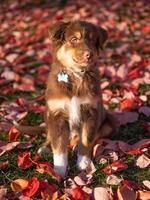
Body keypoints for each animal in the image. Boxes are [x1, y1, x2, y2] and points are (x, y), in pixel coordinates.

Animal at [38, 20, 115, 177]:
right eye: (74, 40)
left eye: (92, 40)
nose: (89, 54)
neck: (76, 74)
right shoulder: (57, 114)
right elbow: (58, 146)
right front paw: (59, 171)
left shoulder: (91, 111)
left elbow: (86, 140)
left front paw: (83, 163)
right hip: (47, 114)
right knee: (50, 135)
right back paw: (45, 147)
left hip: (109, 123)